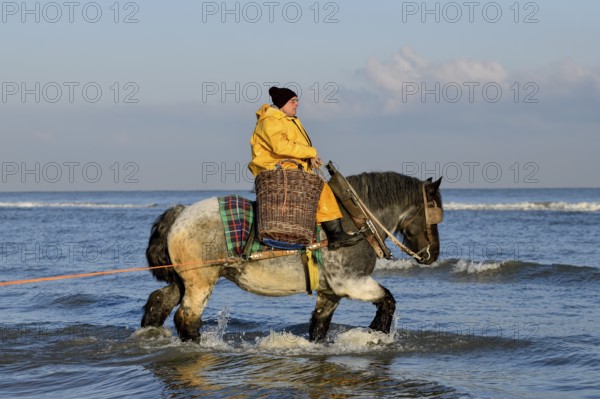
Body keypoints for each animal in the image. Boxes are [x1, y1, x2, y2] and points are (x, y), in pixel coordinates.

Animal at [139, 170, 440, 342]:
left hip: (184, 281)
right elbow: (388, 300)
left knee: (159, 302)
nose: (433, 254)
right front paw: (378, 332)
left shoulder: (330, 291)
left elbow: (319, 326)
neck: (356, 221)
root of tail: (181, 212)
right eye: (434, 213)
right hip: (200, 282)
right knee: (187, 318)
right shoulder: (351, 282)